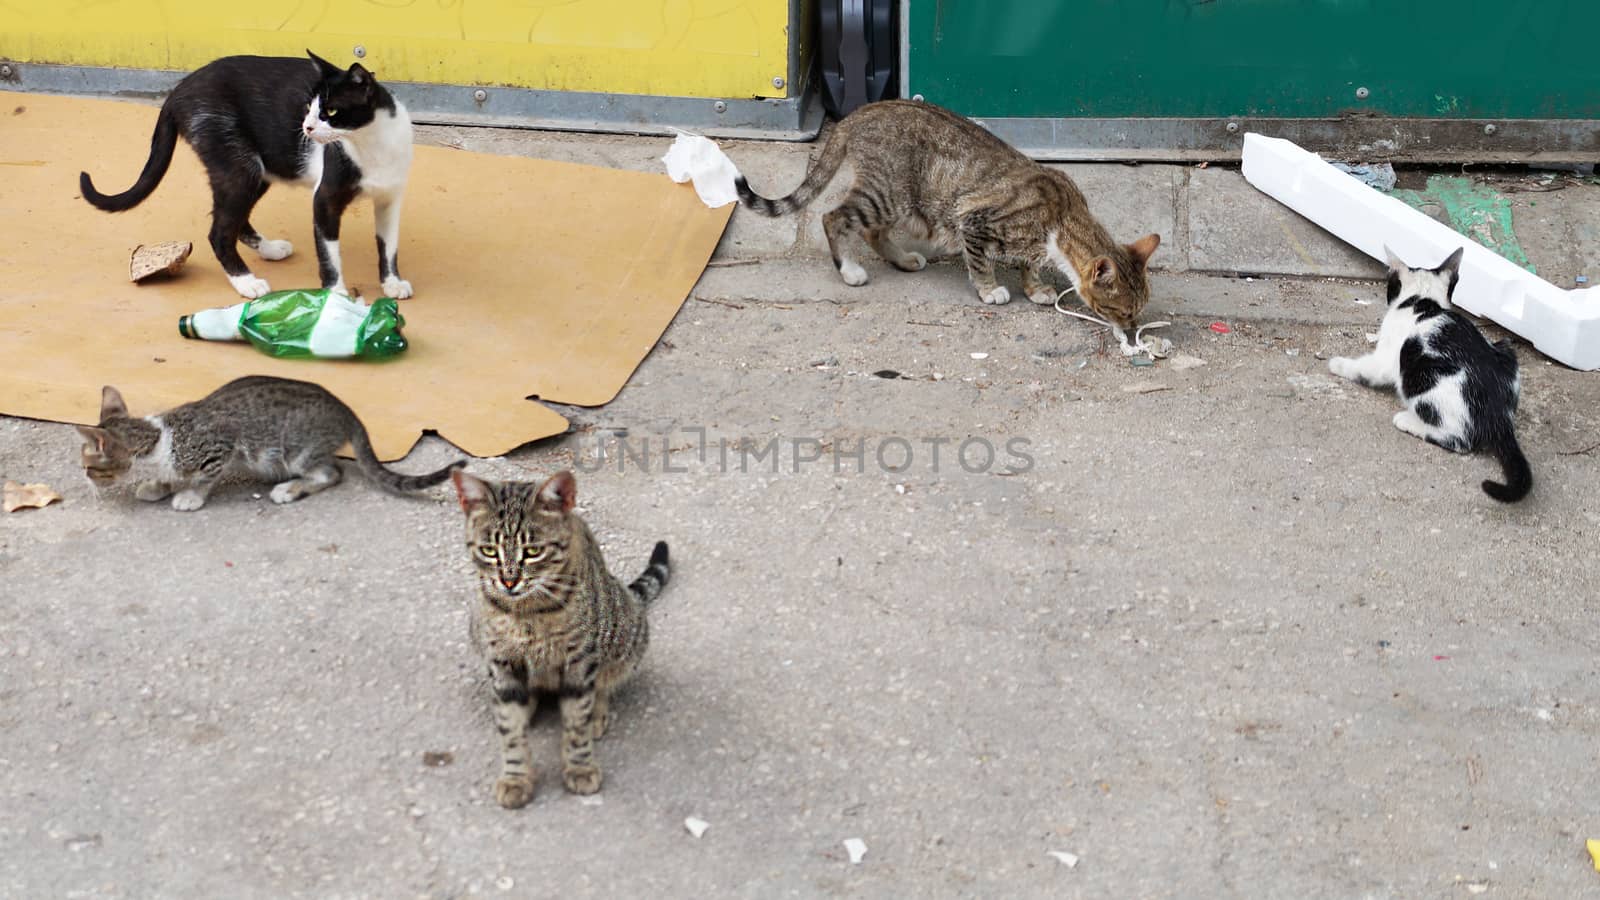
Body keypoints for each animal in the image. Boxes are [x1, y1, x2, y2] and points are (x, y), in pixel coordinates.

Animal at [77, 374, 464, 509]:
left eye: (88, 467)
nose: (83, 478)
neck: (158, 439)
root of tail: (345, 410)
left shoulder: (220, 446)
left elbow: (203, 478)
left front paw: (190, 496)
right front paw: (159, 485)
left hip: (297, 448)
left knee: (331, 472)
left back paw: (290, 489)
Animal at [81, 51, 412, 297]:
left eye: (330, 111)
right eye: (308, 106)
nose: (306, 128)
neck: (371, 144)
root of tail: (178, 90)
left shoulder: (390, 198)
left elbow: (389, 245)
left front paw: (392, 283)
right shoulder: (325, 198)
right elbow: (329, 253)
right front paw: (335, 294)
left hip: (257, 169)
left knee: (235, 220)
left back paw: (269, 249)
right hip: (239, 163)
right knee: (219, 231)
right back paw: (246, 282)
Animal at [454, 470, 672, 807]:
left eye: (533, 552)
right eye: (489, 551)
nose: (508, 581)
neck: (526, 612)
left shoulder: (579, 663)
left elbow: (576, 723)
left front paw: (580, 767)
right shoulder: (501, 660)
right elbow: (510, 730)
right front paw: (515, 777)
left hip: (624, 633)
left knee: (604, 684)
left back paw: (597, 713)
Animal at [736, 98, 1164, 339]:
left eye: (1135, 313)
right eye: (1122, 312)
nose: (1131, 332)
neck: (1063, 215)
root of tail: (859, 113)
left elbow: (1029, 264)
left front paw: (1035, 286)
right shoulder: (973, 222)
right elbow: (980, 262)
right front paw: (990, 289)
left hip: (903, 201)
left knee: (874, 232)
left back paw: (904, 259)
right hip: (889, 193)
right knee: (834, 216)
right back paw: (849, 269)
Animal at [1324, 245, 1536, 499]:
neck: (1423, 303)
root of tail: (1500, 416)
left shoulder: (1385, 360)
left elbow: (1364, 369)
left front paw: (1337, 364)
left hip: (1423, 384)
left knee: (1459, 441)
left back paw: (1408, 422)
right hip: (1505, 349)